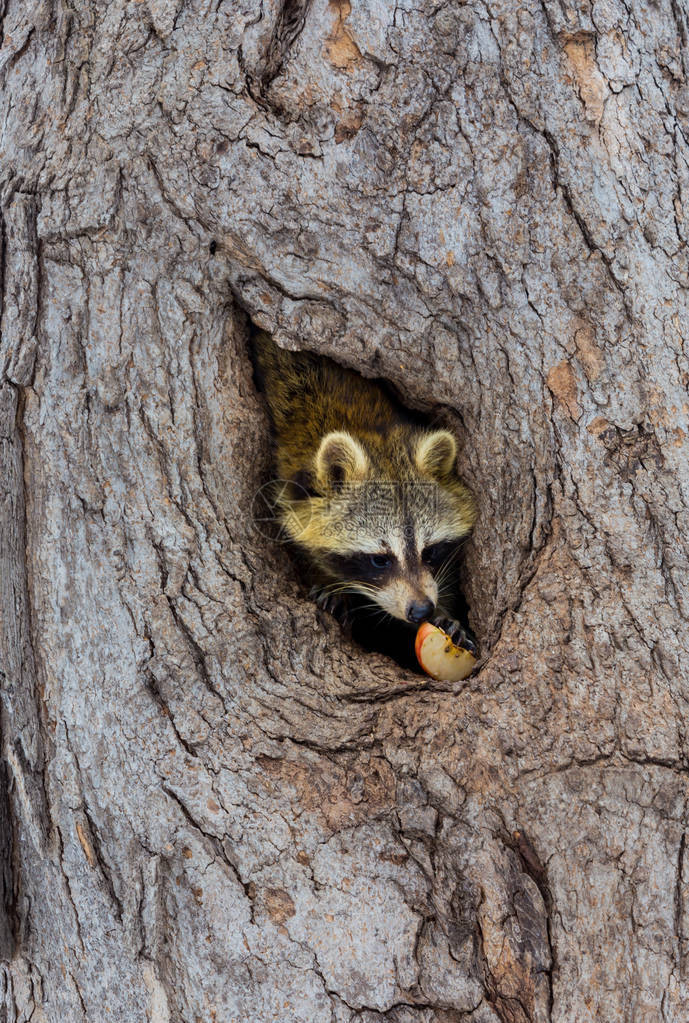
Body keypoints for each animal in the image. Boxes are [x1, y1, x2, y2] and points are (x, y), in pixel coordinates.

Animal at [249, 327, 474, 662]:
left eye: (431, 552)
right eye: (380, 560)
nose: (421, 610)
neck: (368, 429)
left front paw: (446, 615)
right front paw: (328, 584)